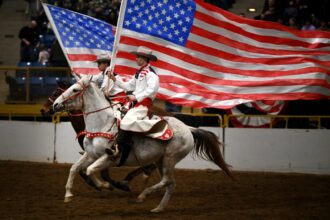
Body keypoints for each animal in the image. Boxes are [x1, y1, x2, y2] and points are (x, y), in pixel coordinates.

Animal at [52, 75, 233, 212]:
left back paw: (142, 195)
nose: (55, 104)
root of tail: (188, 129)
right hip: (161, 160)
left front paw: (104, 185)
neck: (102, 124)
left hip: (169, 159)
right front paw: (68, 195)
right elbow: (74, 168)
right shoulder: (90, 155)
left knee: (167, 181)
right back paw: (158, 208)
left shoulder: (108, 157)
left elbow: (90, 170)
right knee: (170, 184)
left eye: (75, 89)